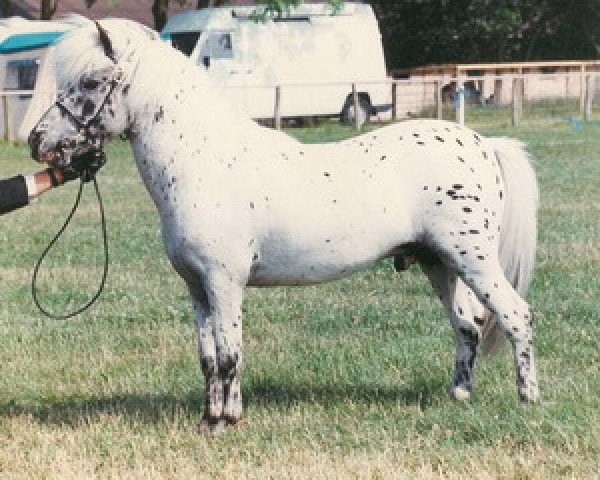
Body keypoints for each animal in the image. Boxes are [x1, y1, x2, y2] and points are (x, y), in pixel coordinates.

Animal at [28, 18, 540, 434]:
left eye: (92, 81)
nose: (38, 141)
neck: (204, 161)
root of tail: (483, 143)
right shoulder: (197, 287)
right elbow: (208, 357)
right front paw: (208, 419)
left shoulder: (224, 282)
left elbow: (230, 353)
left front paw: (228, 422)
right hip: (438, 263)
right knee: (467, 325)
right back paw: (459, 396)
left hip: (471, 260)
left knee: (514, 315)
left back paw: (528, 398)